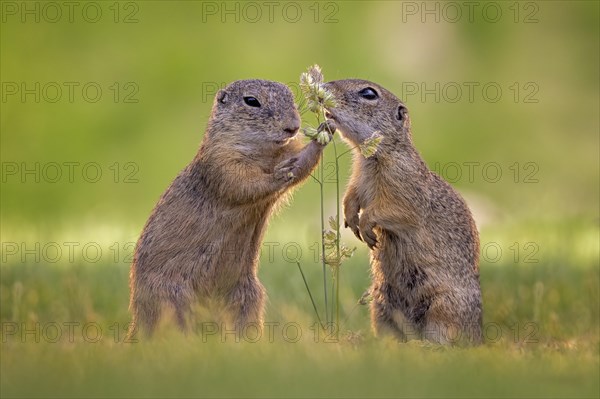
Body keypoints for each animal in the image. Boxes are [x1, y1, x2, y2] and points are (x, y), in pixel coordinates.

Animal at [128, 79, 330, 338]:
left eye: (291, 97)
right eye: (251, 101)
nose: (293, 127)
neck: (264, 152)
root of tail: (136, 321)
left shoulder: (286, 151)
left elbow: (301, 165)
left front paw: (324, 131)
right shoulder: (222, 161)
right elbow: (244, 183)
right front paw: (279, 173)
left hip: (249, 298)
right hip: (171, 299)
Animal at [324, 79, 482, 346]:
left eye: (369, 94)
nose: (324, 87)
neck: (373, 155)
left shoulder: (402, 185)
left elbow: (392, 210)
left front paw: (366, 226)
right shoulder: (358, 178)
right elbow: (351, 196)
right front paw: (350, 218)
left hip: (444, 305)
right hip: (380, 305)